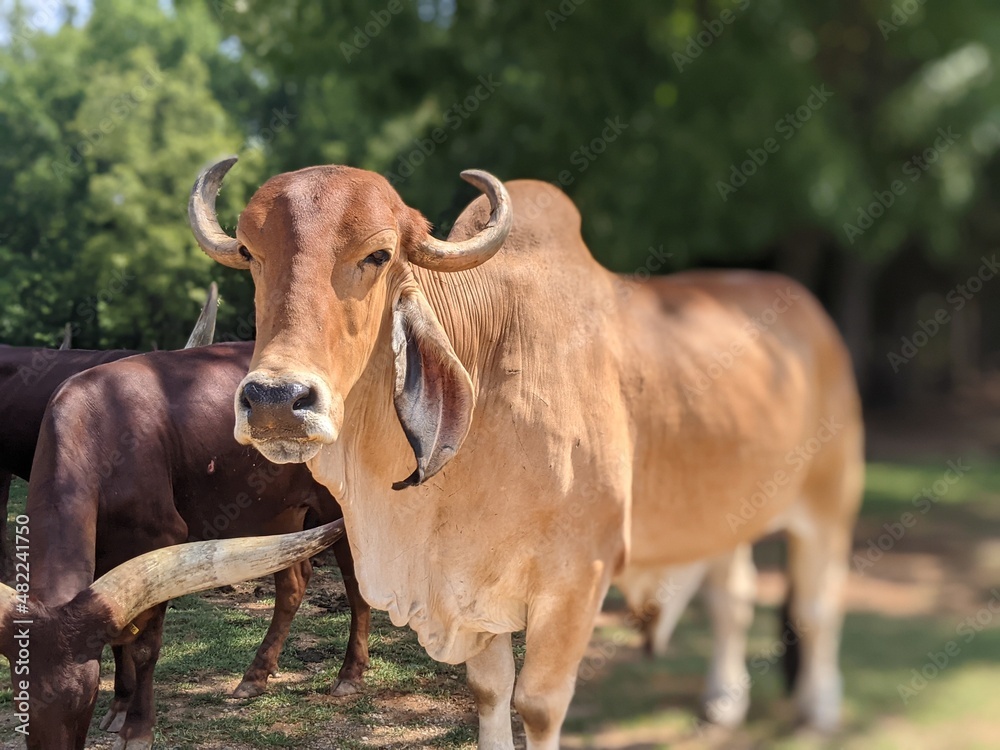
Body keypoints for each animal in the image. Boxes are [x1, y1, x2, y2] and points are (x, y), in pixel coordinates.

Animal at [0, 346, 368, 750]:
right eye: (20, 700)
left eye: (87, 696)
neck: (99, 424)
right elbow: (118, 641)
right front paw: (120, 707)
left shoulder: (160, 541)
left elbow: (144, 645)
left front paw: (137, 728)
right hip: (280, 511)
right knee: (294, 582)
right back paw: (255, 676)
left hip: (339, 505)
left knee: (356, 583)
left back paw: (350, 674)